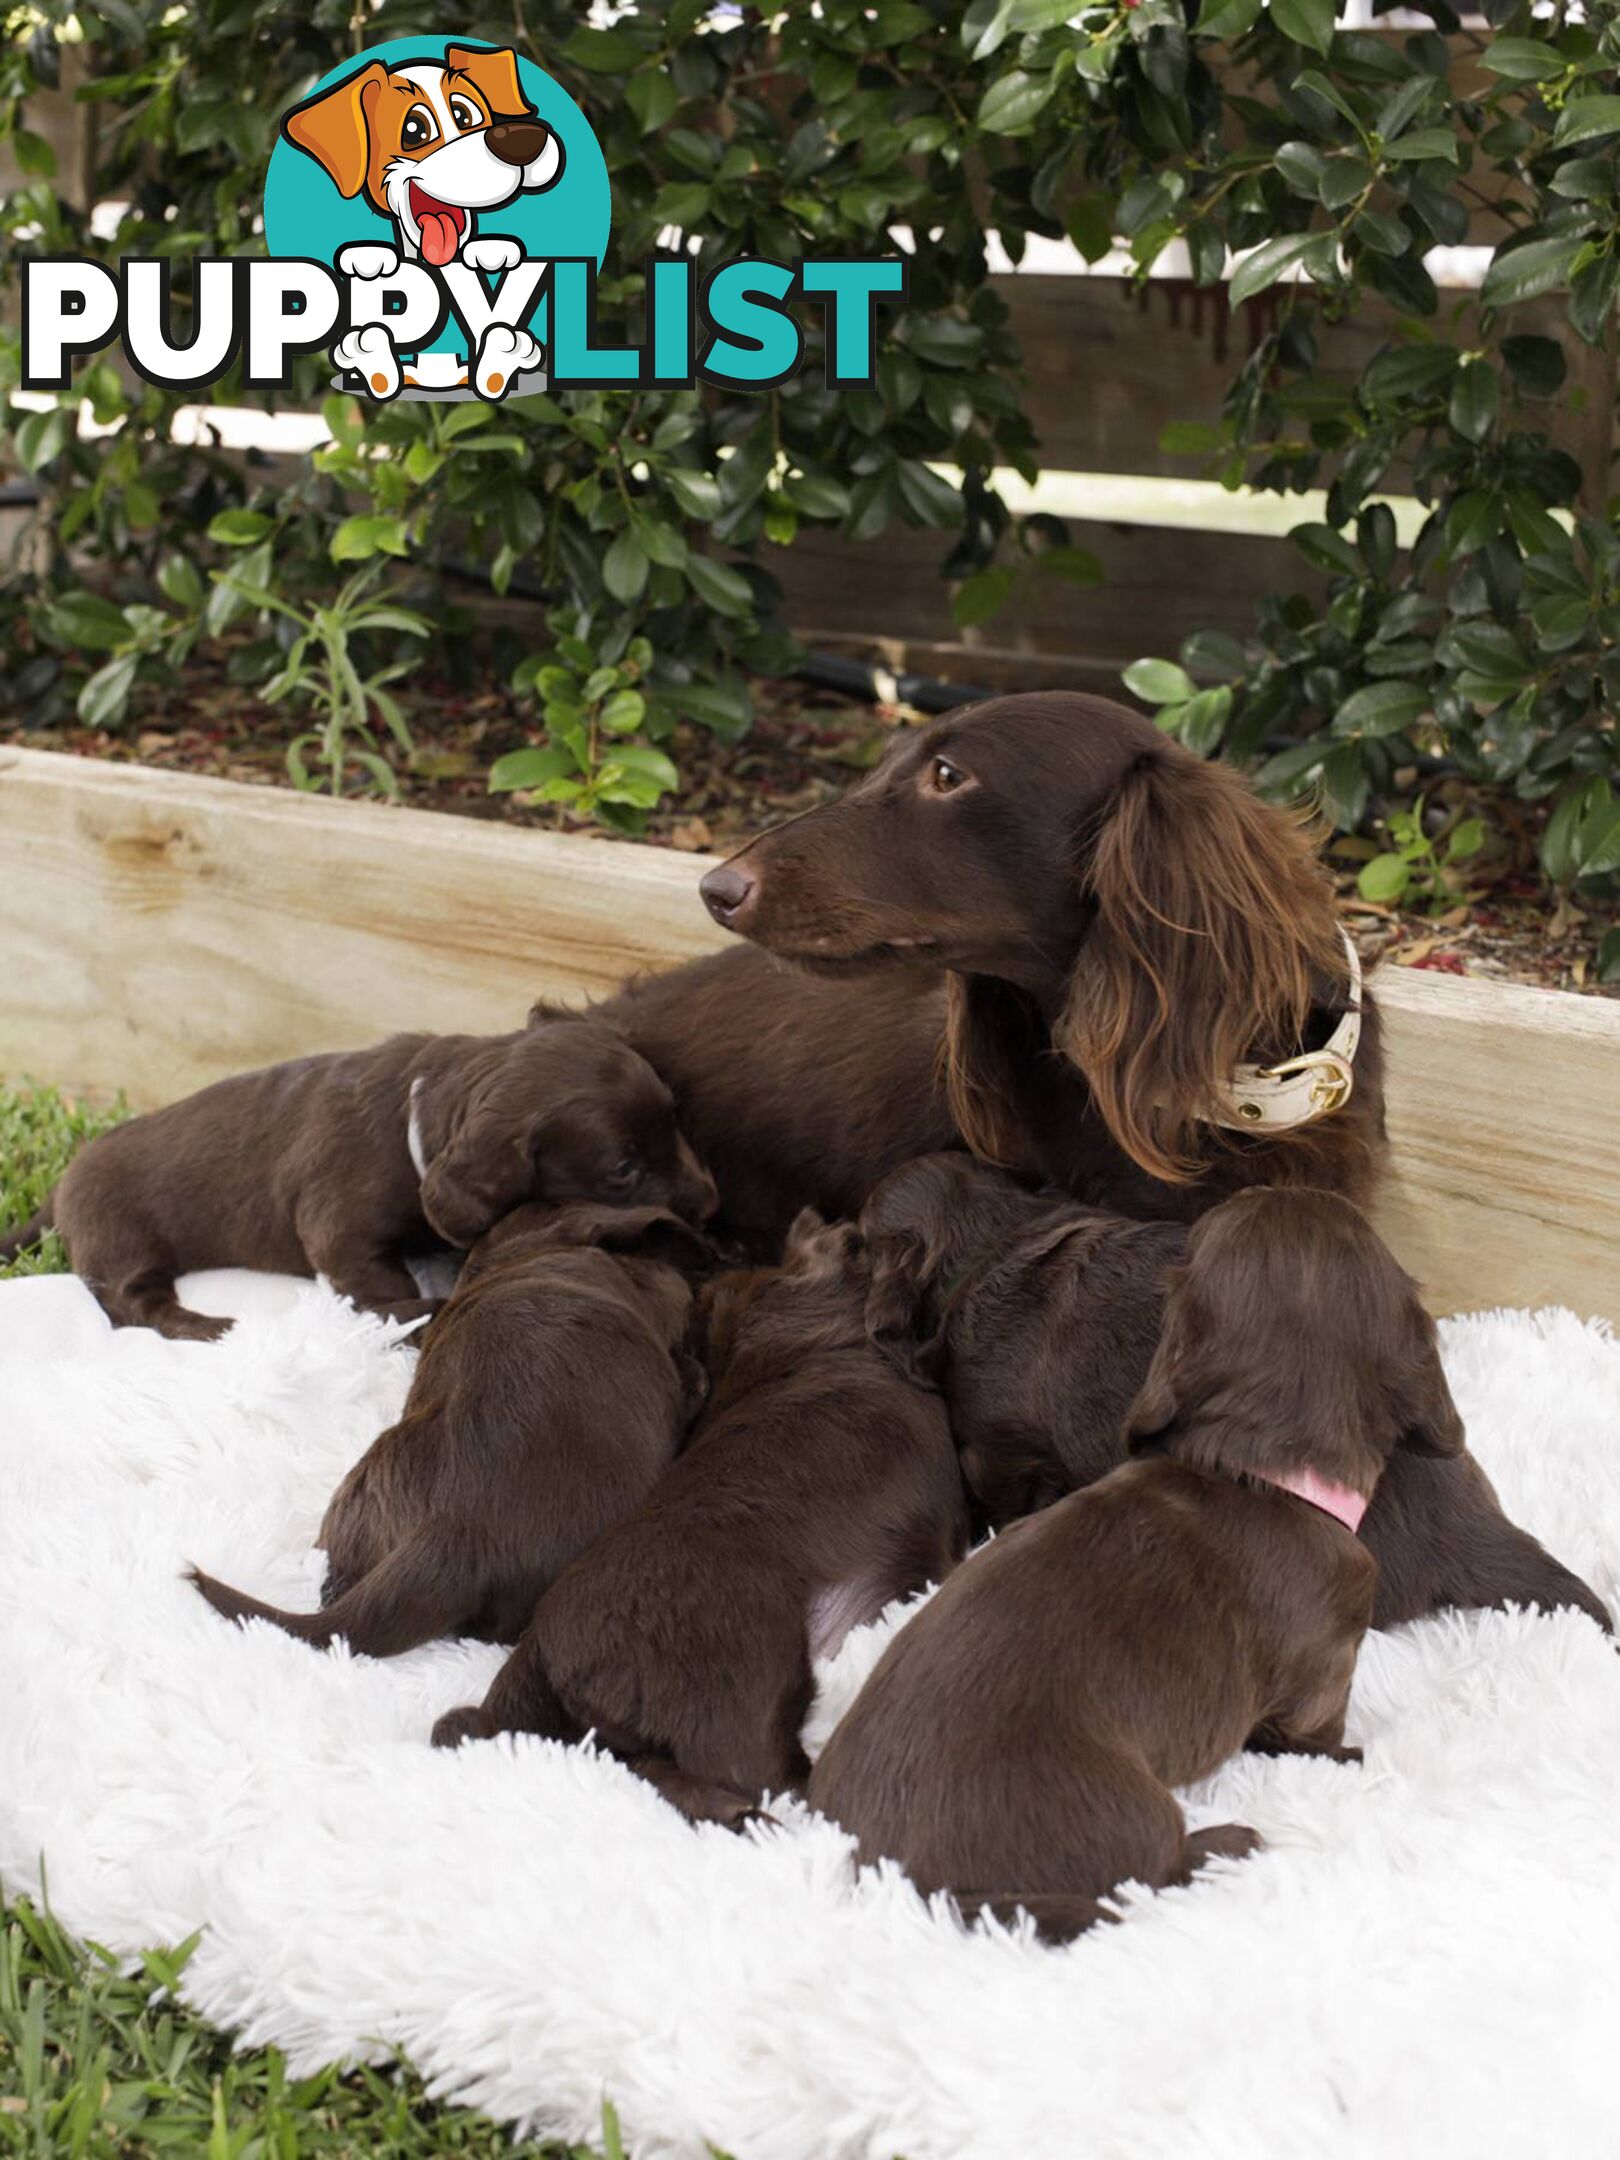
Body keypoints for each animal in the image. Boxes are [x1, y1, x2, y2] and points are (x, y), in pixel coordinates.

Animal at [1, 1006, 717, 1339]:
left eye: (678, 1120)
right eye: (623, 1168)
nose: (712, 1202)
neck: (419, 1118)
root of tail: (62, 1185)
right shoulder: (341, 1227)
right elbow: (376, 1280)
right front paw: (409, 1308)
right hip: (123, 1237)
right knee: (132, 1305)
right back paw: (208, 1326)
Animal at [432, 1218, 972, 1823]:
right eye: (858, 1240)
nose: (907, 1234)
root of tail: (538, 1649)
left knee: (659, 1772)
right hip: (749, 1673)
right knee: (752, 1772)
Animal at [812, 1192, 1460, 1952]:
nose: (1280, 1186)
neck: (1254, 1466)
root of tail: (899, 1881)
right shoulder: (1326, 1668)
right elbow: (1313, 1732)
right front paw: (1348, 1758)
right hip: (1129, 1809)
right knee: (1148, 1871)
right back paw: (1226, 1842)